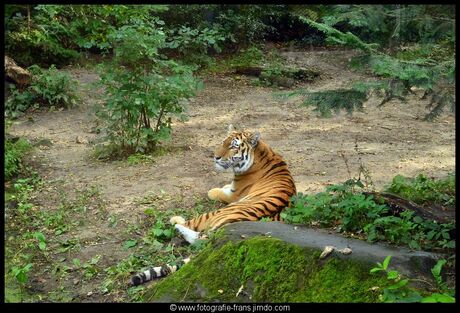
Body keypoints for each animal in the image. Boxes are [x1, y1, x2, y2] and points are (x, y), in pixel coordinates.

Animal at [130, 124, 294, 286]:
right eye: (223, 142)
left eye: (233, 146)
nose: (216, 157)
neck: (263, 153)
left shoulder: (234, 195)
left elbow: (217, 192)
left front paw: (213, 190)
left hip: (217, 213)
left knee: (194, 231)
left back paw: (176, 222)